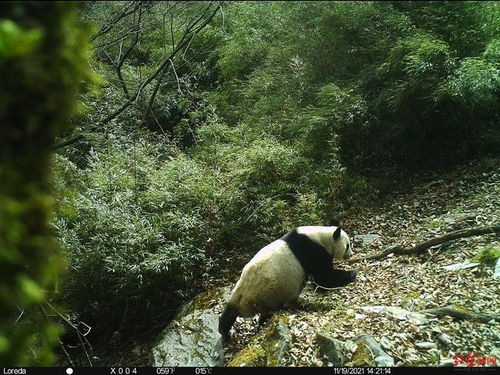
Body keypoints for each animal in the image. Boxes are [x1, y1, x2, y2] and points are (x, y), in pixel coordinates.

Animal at [219, 226, 356, 338]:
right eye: (347, 245)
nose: (351, 254)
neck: (322, 236)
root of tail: (244, 301)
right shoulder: (313, 251)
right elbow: (324, 276)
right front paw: (352, 273)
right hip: (267, 294)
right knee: (267, 312)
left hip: (240, 291)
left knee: (229, 312)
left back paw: (223, 331)